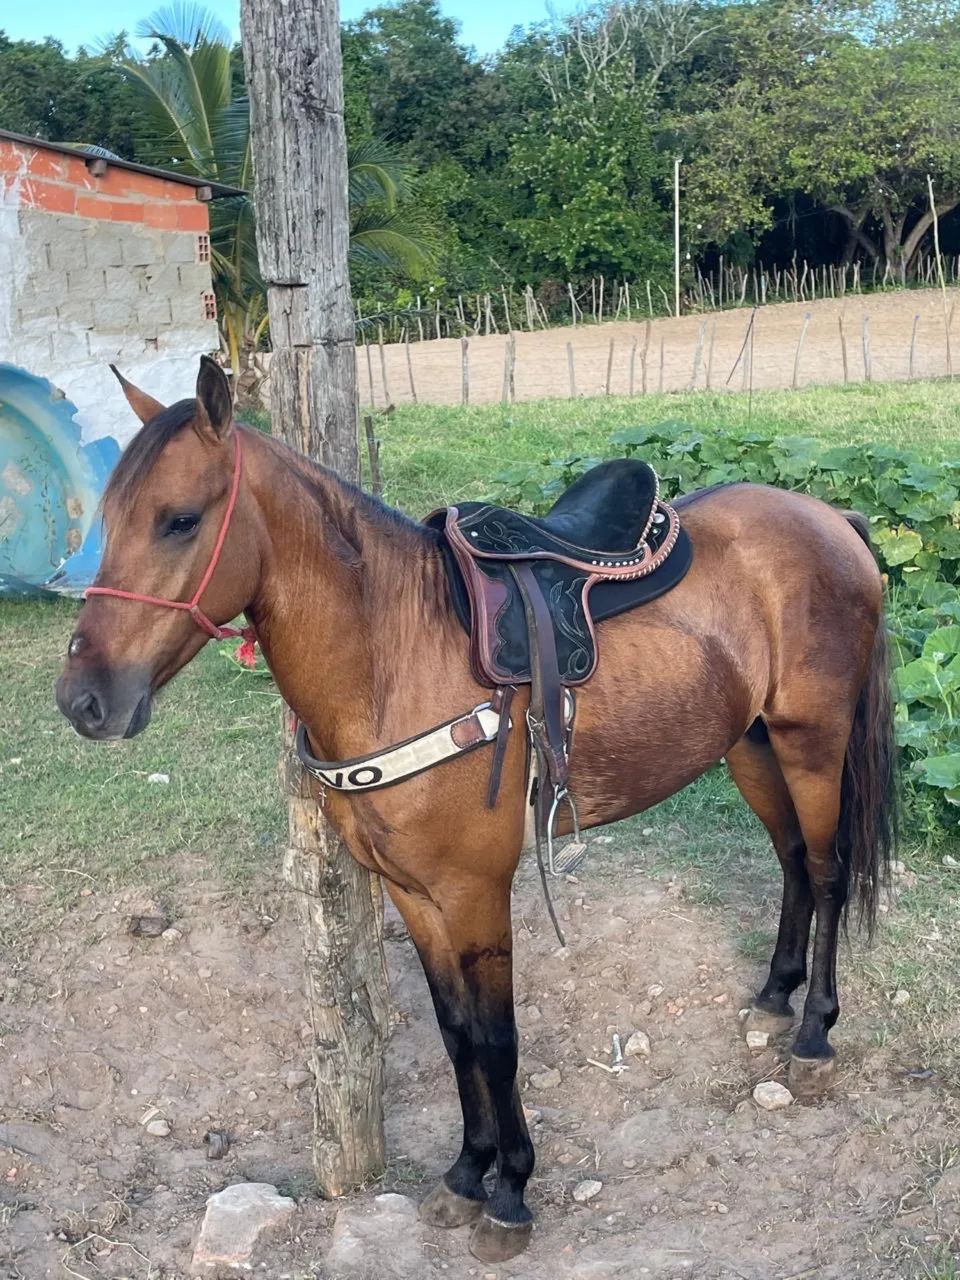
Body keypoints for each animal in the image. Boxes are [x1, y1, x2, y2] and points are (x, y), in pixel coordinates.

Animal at [56, 358, 896, 1264]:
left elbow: (498, 1039)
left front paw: (512, 1190)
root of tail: (833, 519)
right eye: (109, 520)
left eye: (179, 521)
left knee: (827, 871)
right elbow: (456, 1030)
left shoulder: (474, 891)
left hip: (812, 741)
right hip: (750, 744)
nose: (84, 701)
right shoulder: (411, 892)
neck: (392, 656)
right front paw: (466, 1173)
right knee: (792, 864)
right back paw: (775, 995)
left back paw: (813, 1035)